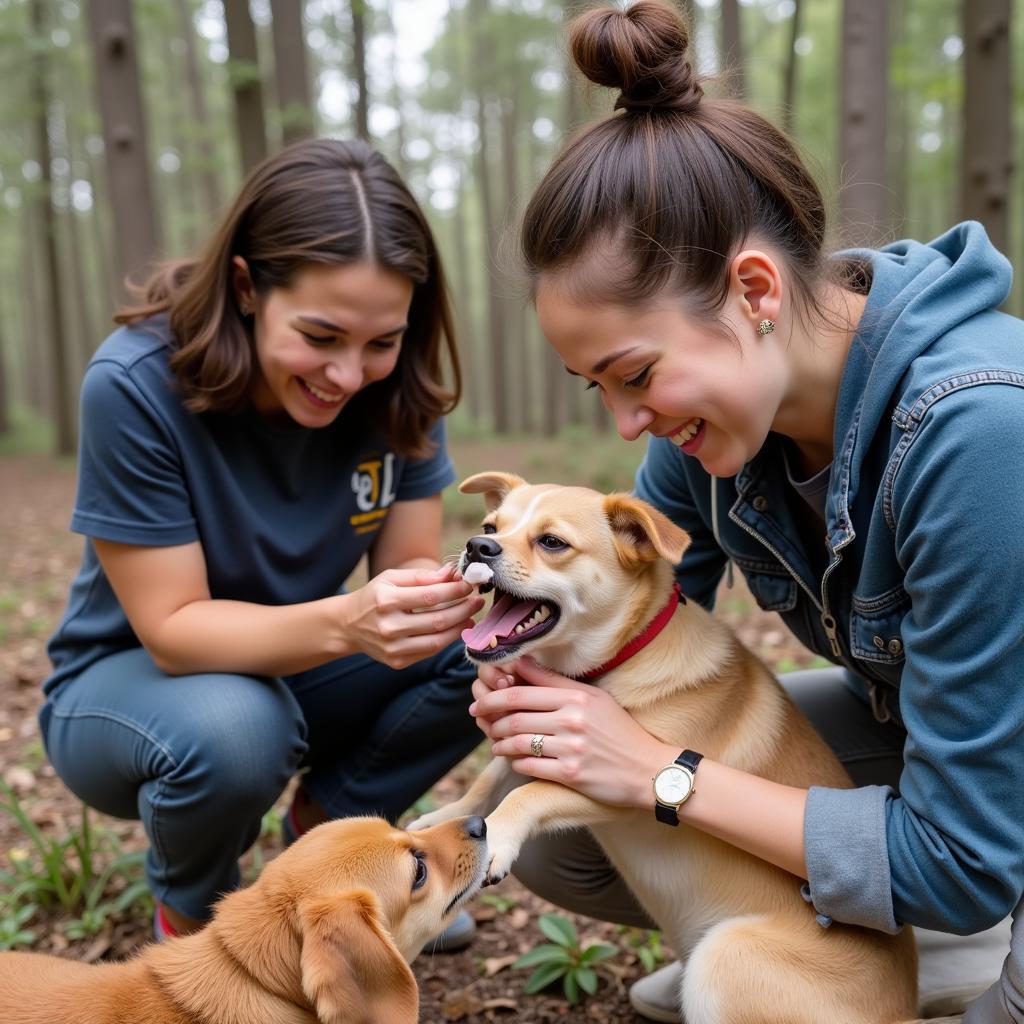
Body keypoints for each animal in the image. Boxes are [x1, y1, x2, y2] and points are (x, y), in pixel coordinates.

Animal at [409, 475, 921, 1024]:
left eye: (551, 542)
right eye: (490, 528)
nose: (475, 547)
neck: (611, 666)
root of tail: (907, 1010)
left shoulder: (611, 782)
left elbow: (531, 793)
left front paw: (498, 835)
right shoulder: (530, 736)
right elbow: (491, 777)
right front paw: (441, 821)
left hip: (726, 956)